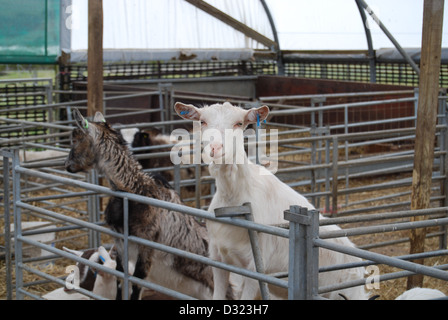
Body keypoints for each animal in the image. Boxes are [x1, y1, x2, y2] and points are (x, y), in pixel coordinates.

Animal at [64, 109, 217, 300]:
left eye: (75, 139)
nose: (67, 165)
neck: (136, 190)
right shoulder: (120, 240)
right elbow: (121, 277)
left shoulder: (146, 243)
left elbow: (137, 280)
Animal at [173, 102, 370, 300]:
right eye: (202, 121)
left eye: (239, 123)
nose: (216, 148)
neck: (233, 196)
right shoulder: (218, 258)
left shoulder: (256, 267)